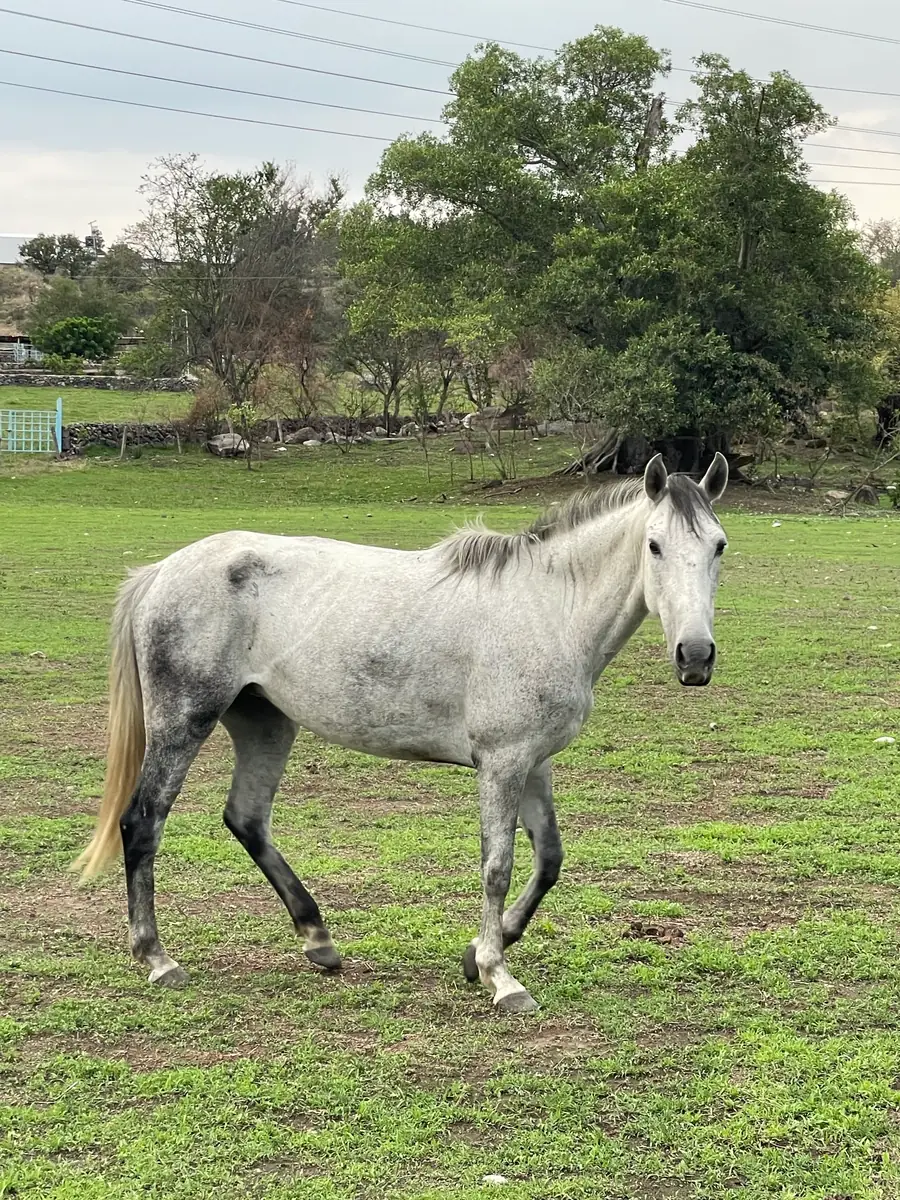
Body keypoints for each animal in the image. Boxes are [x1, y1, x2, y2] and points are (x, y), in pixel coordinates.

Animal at [74, 452, 729, 1013]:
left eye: (719, 546)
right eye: (654, 546)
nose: (695, 656)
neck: (547, 609)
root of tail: (163, 571)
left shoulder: (533, 761)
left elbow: (548, 860)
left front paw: (477, 954)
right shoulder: (502, 762)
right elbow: (498, 865)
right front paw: (499, 975)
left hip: (265, 724)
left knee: (246, 818)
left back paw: (318, 939)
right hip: (184, 722)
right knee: (143, 822)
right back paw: (157, 958)